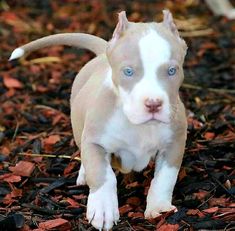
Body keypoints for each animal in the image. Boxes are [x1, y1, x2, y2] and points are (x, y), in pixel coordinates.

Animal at [10, 10, 188, 229]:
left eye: (172, 71)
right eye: (128, 71)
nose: (153, 104)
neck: (136, 125)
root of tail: (103, 52)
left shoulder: (174, 143)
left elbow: (164, 178)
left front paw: (160, 208)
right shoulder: (95, 142)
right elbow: (103, 175)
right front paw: (103, 209)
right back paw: (84, 175)